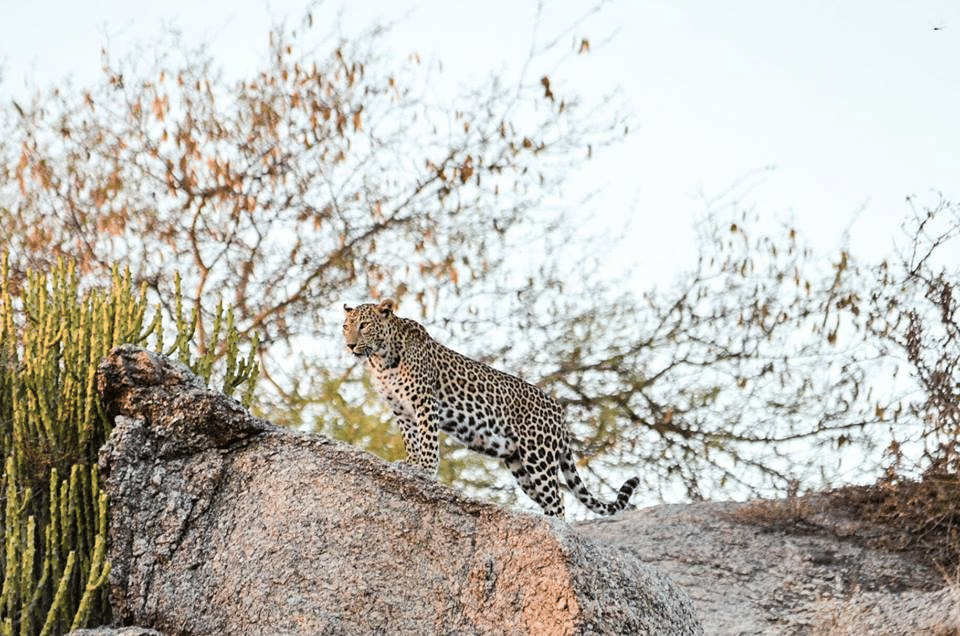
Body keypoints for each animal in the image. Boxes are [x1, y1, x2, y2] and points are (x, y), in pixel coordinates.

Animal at [342, 298, 640, 518]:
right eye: (346, 326)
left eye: (364, 326)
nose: (350, 345)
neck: (380, 360)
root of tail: (559, 411)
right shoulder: (401, 410)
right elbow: (411, 439)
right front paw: (411, 463)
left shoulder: (424, 401)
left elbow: (427, 438)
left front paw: (425, 468)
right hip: (519, 464)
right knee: (549, 499)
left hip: (539, 456)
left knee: (558, 501)